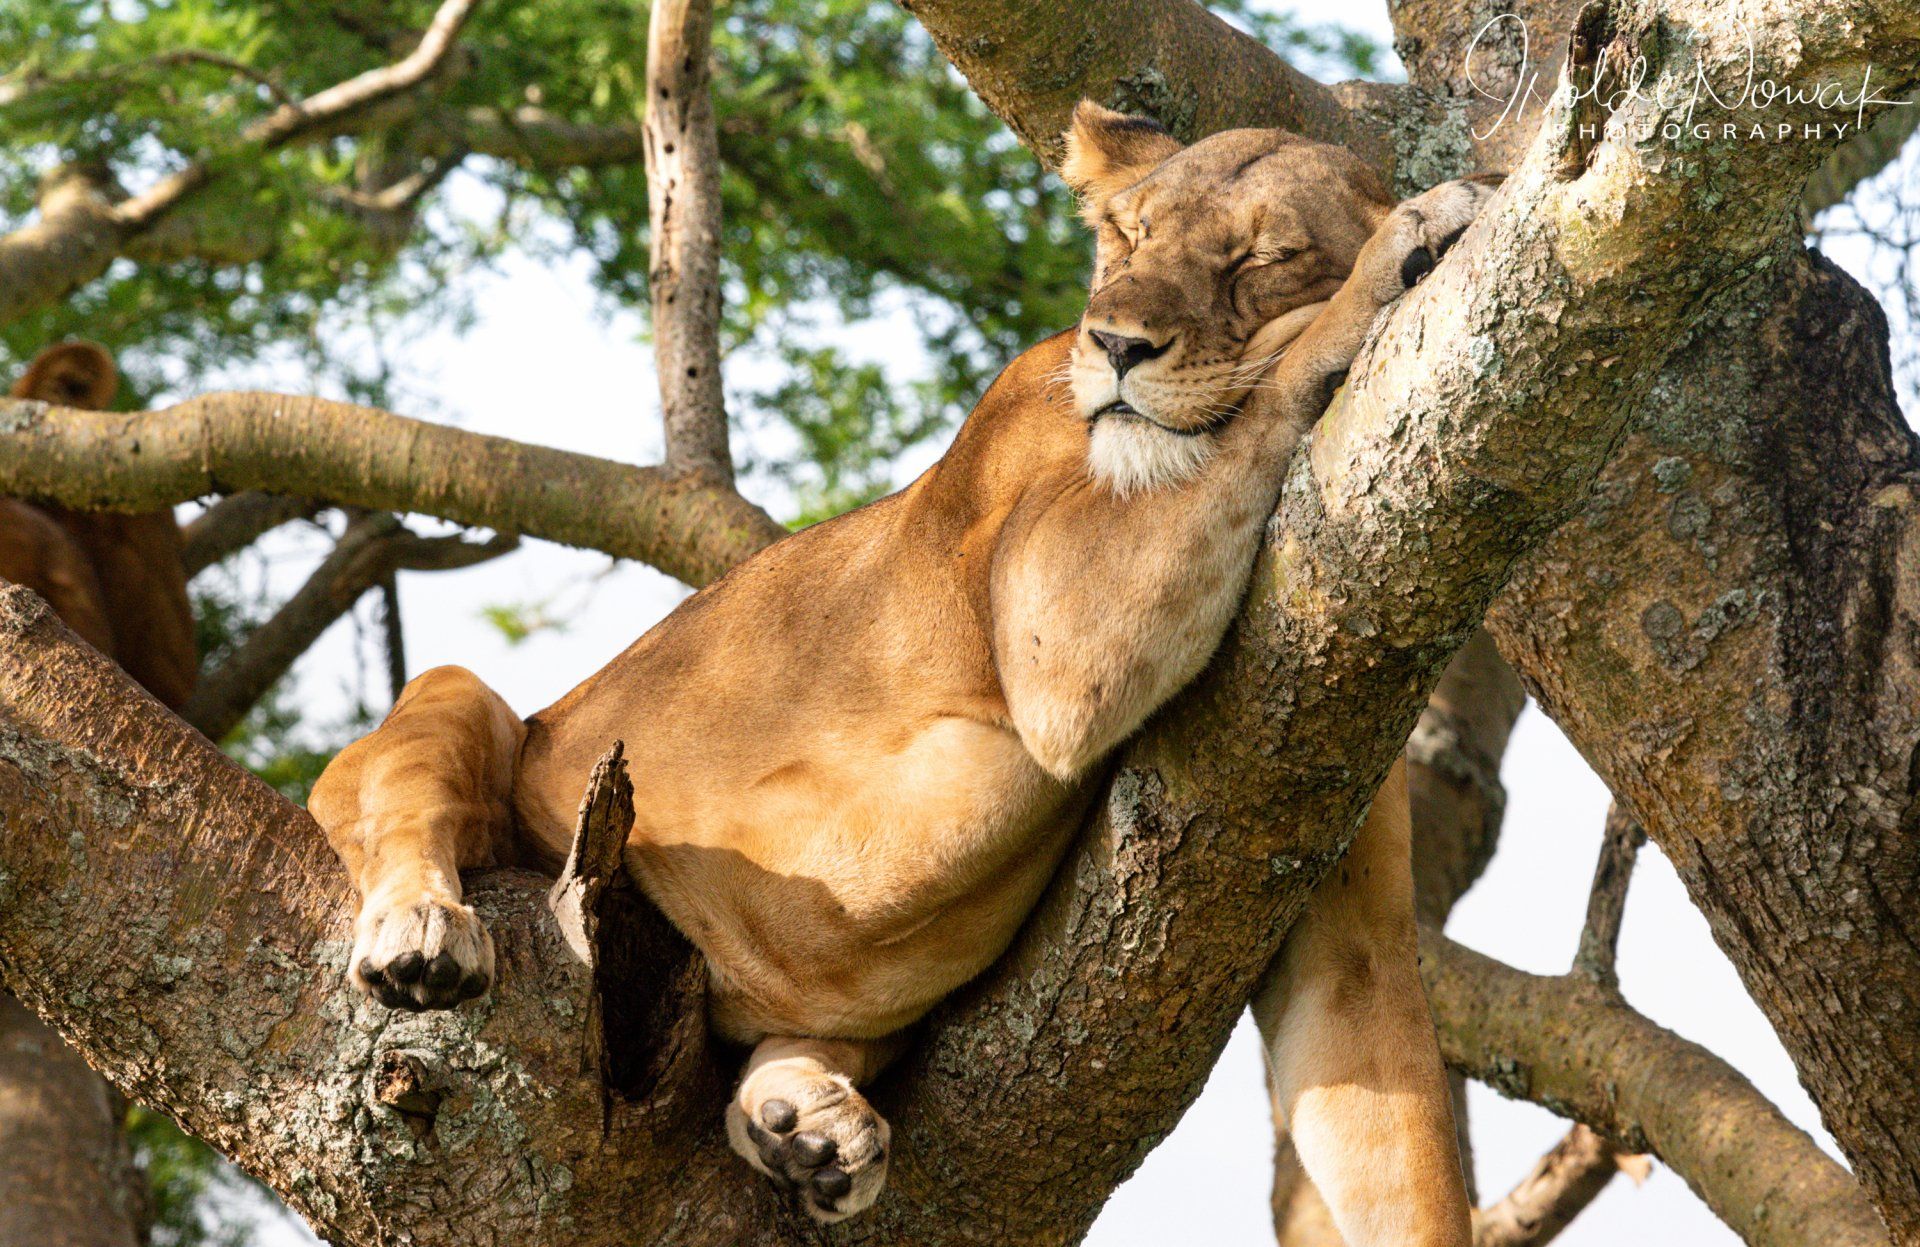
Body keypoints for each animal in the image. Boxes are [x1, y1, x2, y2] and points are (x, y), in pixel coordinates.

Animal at [309, 102, 1496, 1239]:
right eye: (1126, 238)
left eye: (1263, 256)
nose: (1116, 343)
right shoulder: (1058, 617)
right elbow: (1265, 387)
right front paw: (1399, 253)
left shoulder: (1332, 877)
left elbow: (1385, 1112)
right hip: (474, 710)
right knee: (405, 795)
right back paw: (424, 936)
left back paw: (802, 1121)